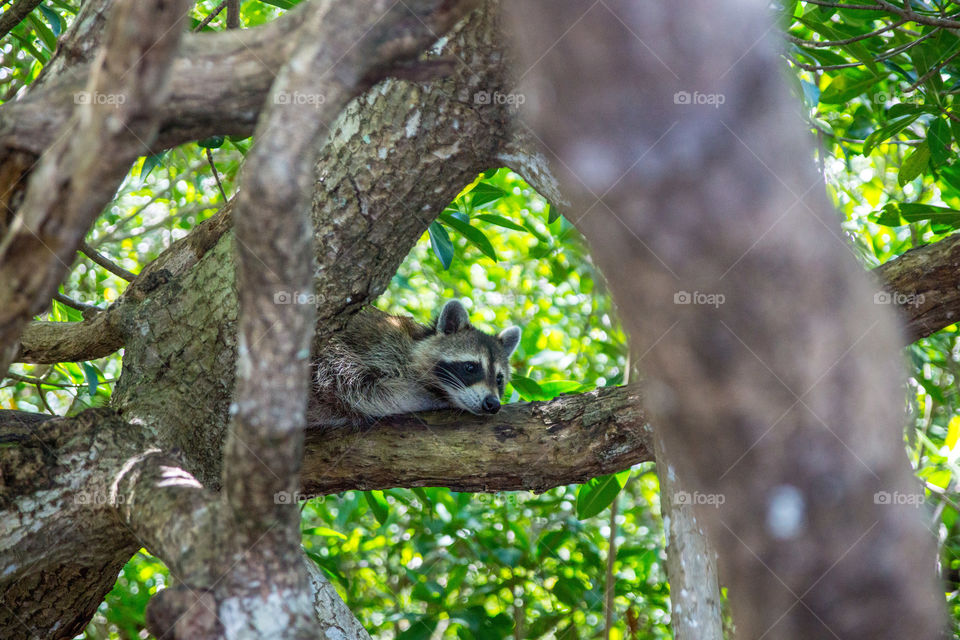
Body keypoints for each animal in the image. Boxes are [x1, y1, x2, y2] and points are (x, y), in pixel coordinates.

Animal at [312, 300, 520, 424]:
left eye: (499, 379)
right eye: (470, 367)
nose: (492, 403)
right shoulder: (377, 346)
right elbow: (357, 387)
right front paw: (433, 399)